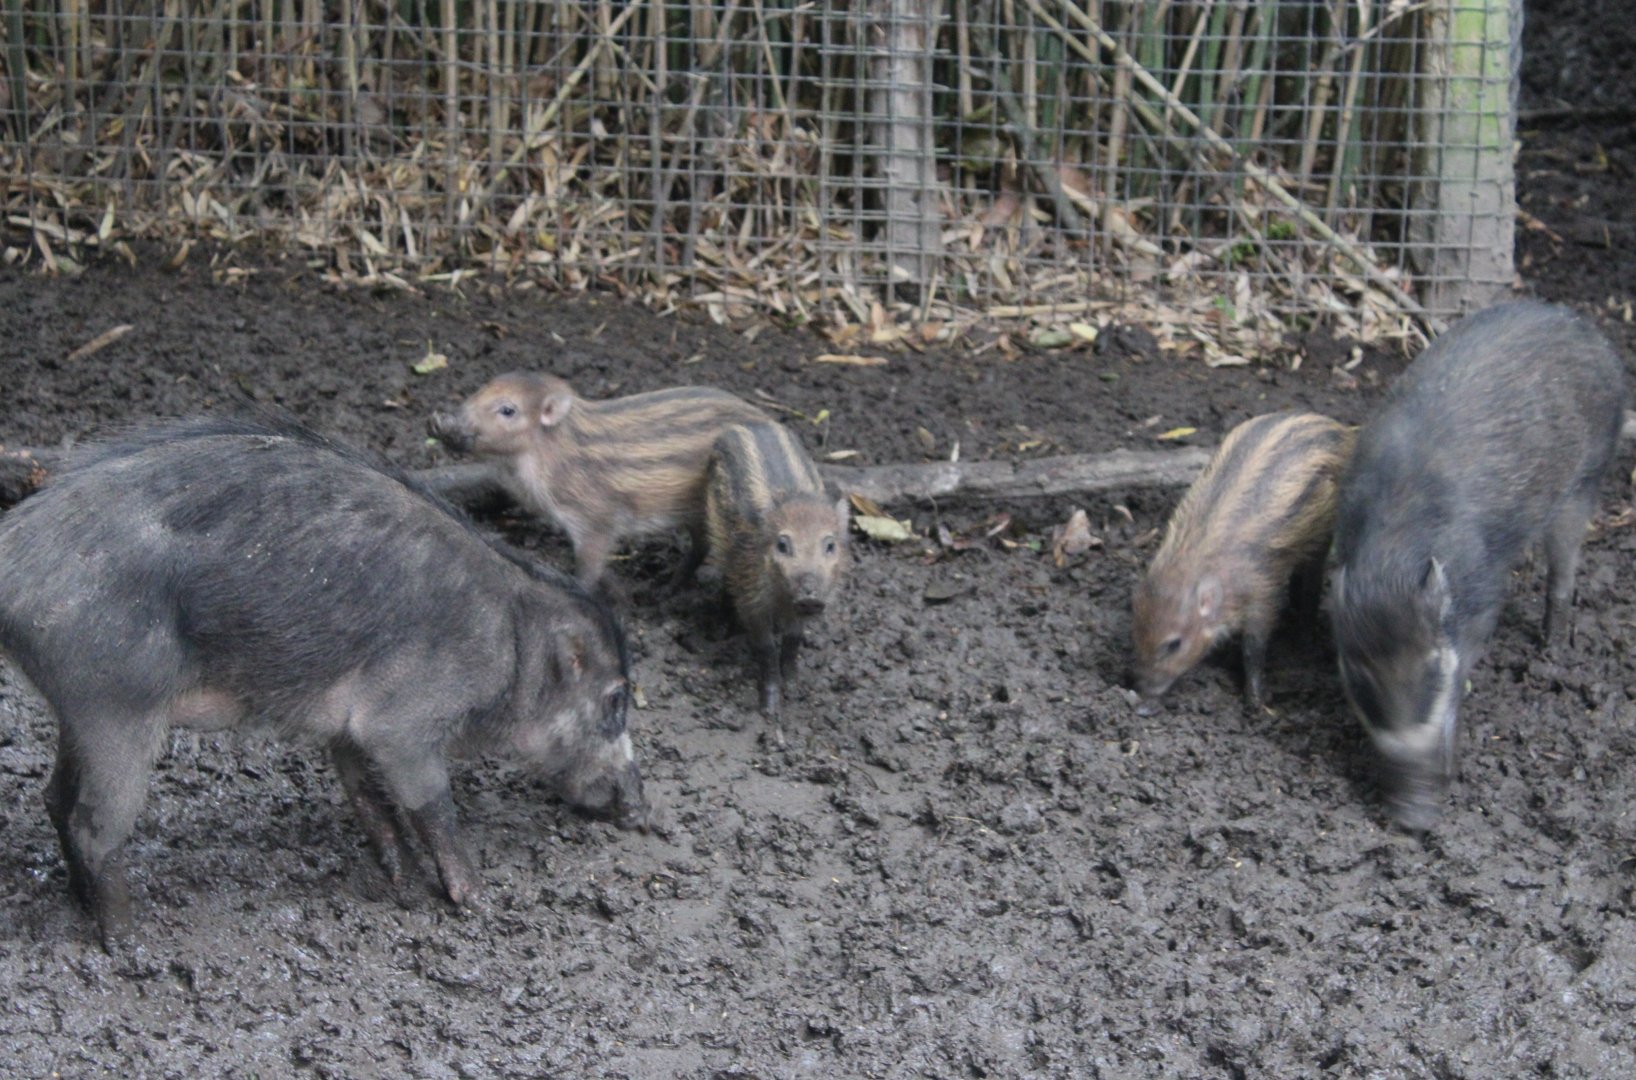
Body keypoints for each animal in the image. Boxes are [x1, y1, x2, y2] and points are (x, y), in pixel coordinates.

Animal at [0, 415, 650, 948]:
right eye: (616, 699)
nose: (642, 810)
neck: (513, 646)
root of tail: (13, 565)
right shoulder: (404, 720)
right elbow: (433, 805)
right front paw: (479, 902)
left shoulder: (349, 729)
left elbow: (370, 801)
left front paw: (403, 886)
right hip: (117, 705)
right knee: (94, 826)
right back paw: (128, 944)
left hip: (78, 710)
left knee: (55, 799)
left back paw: (82, 906)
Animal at [705, 419, 850, 718]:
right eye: (782, 544)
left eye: (830, 545)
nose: (810, 595)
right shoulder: (751, 598)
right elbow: (766, 648)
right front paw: (769, 708)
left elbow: (794, 639)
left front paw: (794, 687)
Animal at [1132, 410, 1355, 712]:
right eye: (1135, 633)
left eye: (1174, 644)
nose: (1142, 700)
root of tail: (1339, 429)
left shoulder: (1262, 596)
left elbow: (1253, 647)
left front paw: (1257, 702)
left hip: (1320, 542)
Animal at [1330, 301, 1626, 831]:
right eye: (1360, 676)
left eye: (1432, 670)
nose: (1413, 820)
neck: (1392, 557)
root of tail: (1584, 329)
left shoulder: (1483, 597)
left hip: (1586, 479)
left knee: (1565, 568)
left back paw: (1552, 646)